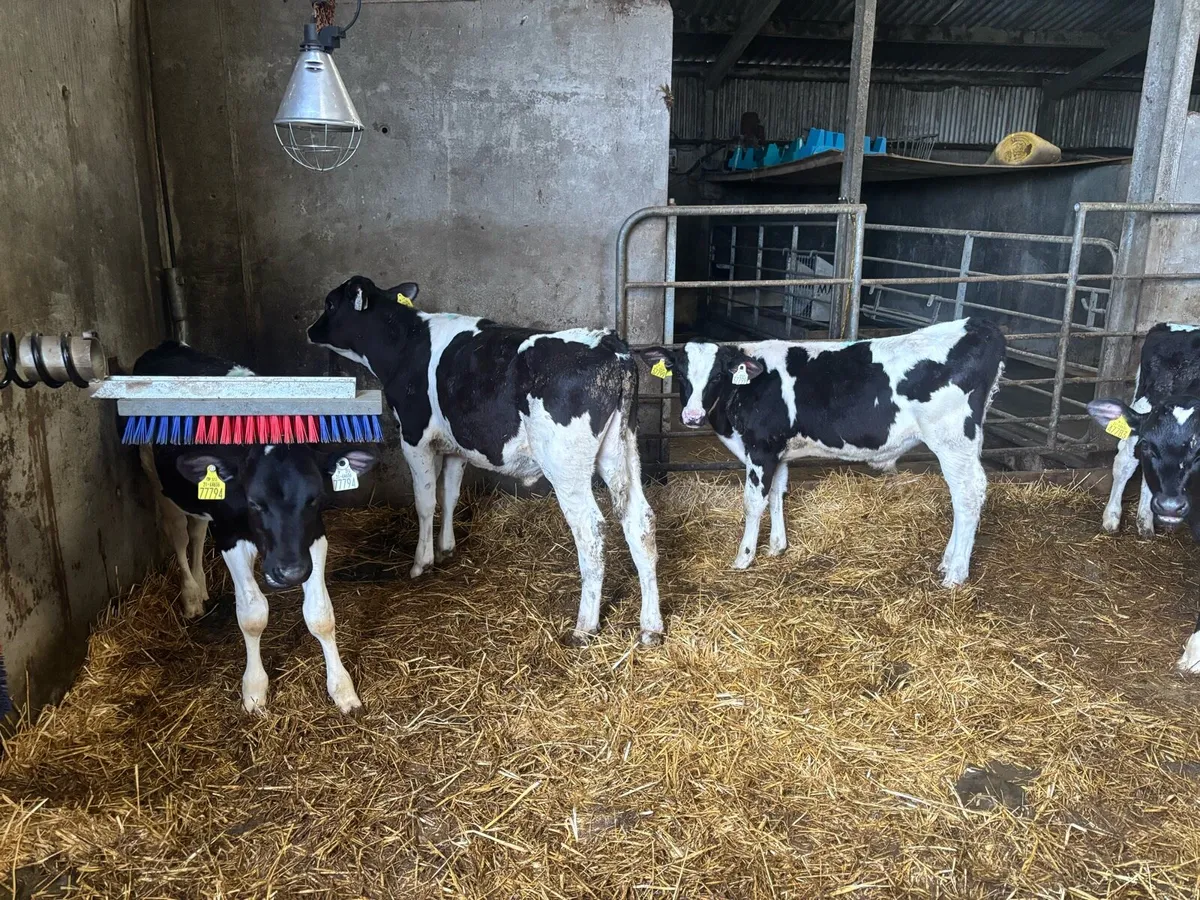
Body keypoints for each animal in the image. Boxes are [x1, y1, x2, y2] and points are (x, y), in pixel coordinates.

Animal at [134, 341, 378, 714]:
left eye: (315, 498)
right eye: (254, 502)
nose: (290, 572)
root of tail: (166, 345)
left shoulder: (313, 537)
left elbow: (320, 614)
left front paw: (342, 689)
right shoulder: (230, 536)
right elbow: (252, 614)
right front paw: (254, 689)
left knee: (196, 531)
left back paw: (202, 586)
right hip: (156, 477)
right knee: (178, 532)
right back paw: (190, 596)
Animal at [306, 276, 663, 646]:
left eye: (330, 303)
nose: (309, 330)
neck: (406, 345)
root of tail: (609, 344)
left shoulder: (414, 437)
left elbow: (425, 502)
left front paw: (422, 562)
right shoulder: (456, 446)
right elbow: (449, 495)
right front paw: (446, 548)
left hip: (567, 466)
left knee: (591, 531)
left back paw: (584, 626)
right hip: (621, 450)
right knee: (640, 521)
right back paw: (651, 626)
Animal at [640, 318, 1006, 586]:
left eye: (718, 375)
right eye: (680, 373)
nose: (691, 416)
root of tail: (977, 325)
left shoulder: (761, 449)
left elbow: (754, 502)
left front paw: (744, 557)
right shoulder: (780, 450)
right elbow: (778, 494)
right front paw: (777, 546)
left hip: (953, 440)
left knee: (968, 494)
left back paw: (955, 573)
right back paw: (947, 563)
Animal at [1089, 393, 1200, 673]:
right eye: (1148, 444)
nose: (1169, 506)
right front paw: (1194, 654)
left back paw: (1145, 523)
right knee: (1126, 460)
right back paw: (1113, 519)